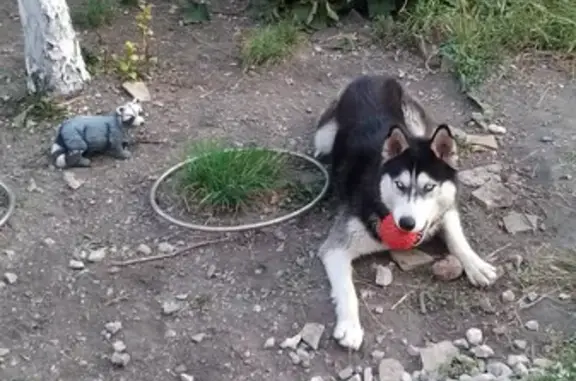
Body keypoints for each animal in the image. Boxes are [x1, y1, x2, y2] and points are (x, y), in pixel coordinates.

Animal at [312, 75, 498, 350]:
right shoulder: (336, 247)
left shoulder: (447, 204)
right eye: (399, 185)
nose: (407, 223)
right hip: (324, 137)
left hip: (418, 124)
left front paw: (476, 264)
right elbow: (347, 289)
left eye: (429, 187)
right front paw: (350, 327)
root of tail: (371, 76)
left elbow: (456, 237)